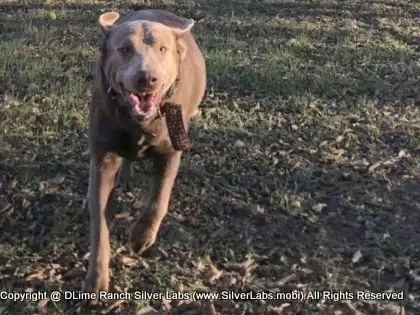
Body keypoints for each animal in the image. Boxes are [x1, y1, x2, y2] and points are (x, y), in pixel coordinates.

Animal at [83, 9, 206, 294]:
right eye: (125, 49)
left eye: (163, 49)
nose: (147, 78)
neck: (139, 121)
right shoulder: (104, 158)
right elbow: (99, 221)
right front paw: (96, 277)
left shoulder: (171, 151)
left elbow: (159, 200)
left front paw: (141, 237)